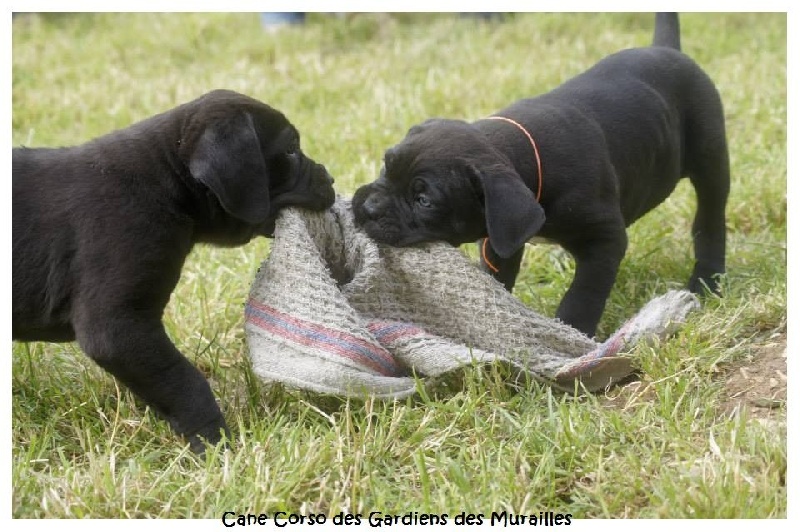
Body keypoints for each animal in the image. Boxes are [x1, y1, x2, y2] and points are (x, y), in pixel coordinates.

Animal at [12, 89, 336, 452]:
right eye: (291, 149)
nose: (330, 177)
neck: (165, 181)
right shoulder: (117, 328)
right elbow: (185, 382)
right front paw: (216, 445)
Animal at [353, 13, 728, 337]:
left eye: (424, 200)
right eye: (386, 164)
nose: (367, 206)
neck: (520, 153)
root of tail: (668, 49)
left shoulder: (604, 239)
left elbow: (583, 296)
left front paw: (572, 337)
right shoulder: (499, 237)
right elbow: (498, 279)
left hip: (710, 158)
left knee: (710, 219)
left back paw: (707, 279)